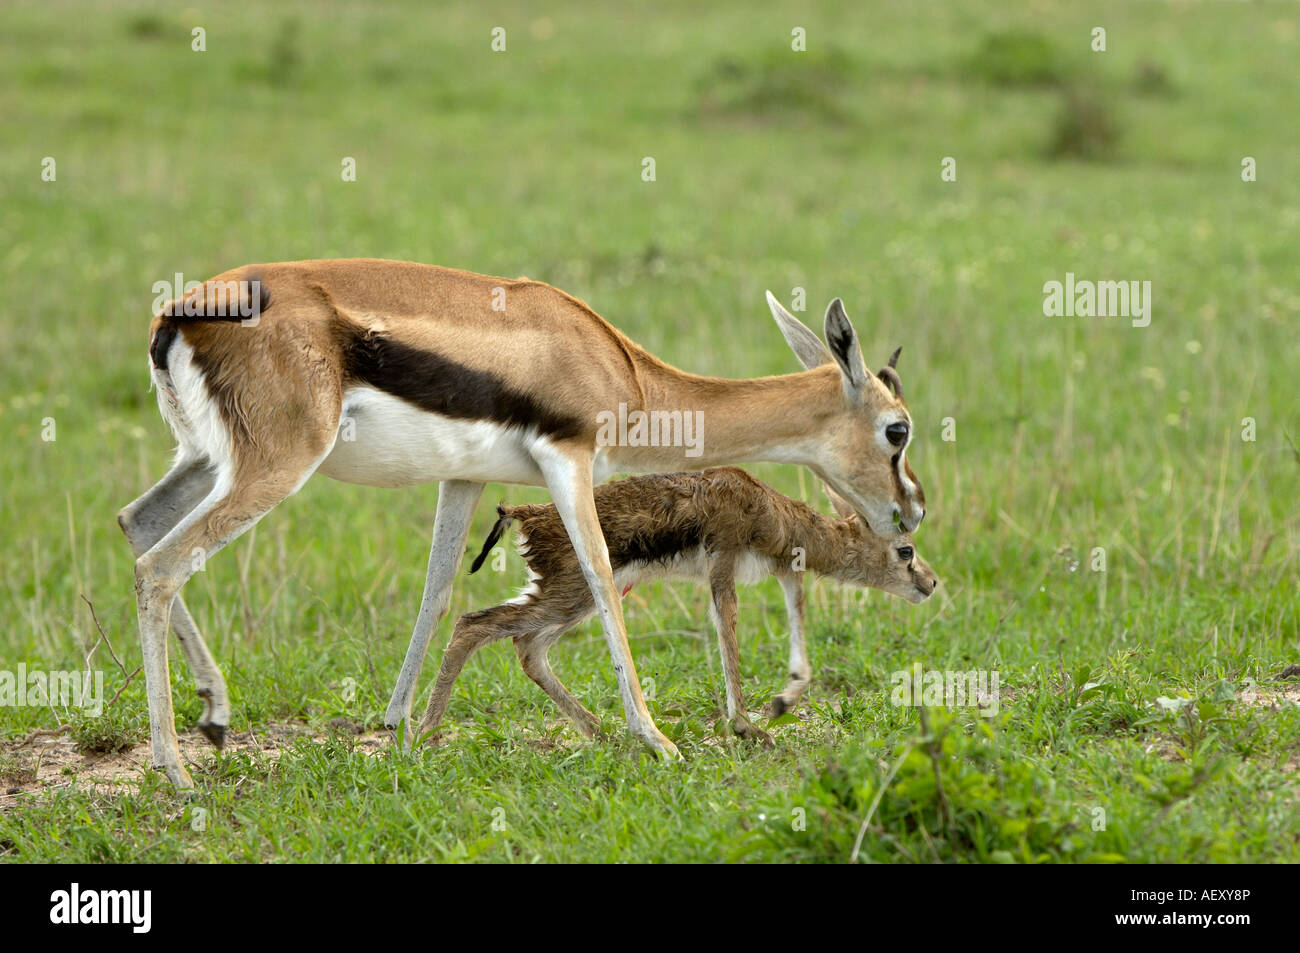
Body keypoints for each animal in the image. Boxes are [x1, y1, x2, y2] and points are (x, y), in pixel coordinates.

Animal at [419, 467, 938, 745]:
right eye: (905, 550)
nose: (931, 583)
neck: (765, 507)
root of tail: (527, 514)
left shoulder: (782, 571)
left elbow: (797, 610)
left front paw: (782, 702)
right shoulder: (723, 568)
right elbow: (729, 631)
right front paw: (748, 728)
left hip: (578, 601)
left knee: (526, 648)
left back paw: (605, 733)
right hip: (568, 598)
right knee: (472, 624)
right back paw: (423, 736)